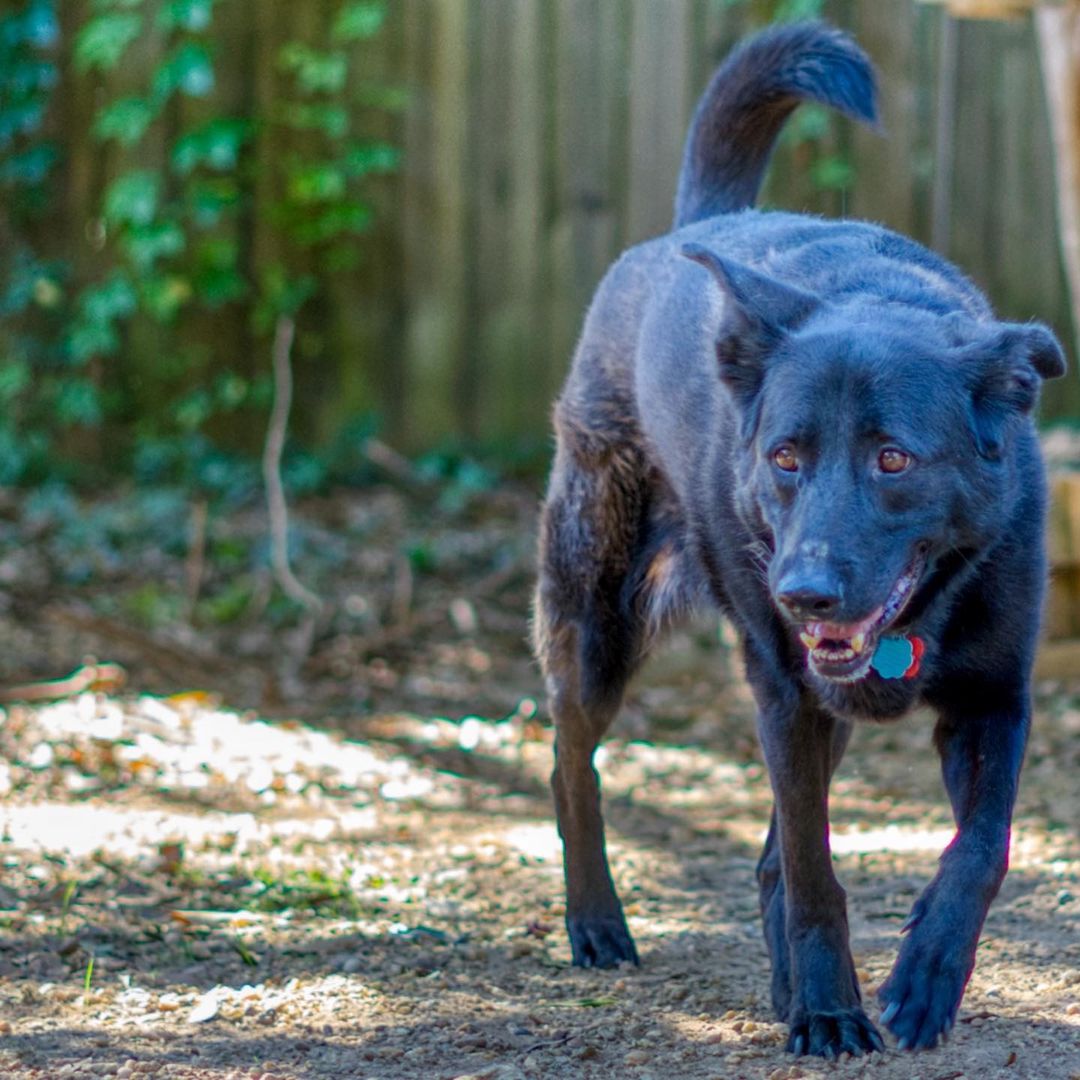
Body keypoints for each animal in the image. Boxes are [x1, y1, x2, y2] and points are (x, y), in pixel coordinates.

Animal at [531, 21, 1062, 1058]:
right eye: (785, 456)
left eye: (894, 459)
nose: (803, 593)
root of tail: (689, 229)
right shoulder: (786, 695)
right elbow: (817, 871)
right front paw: (827, 1009)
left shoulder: (994, 702)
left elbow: (982, 846)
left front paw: (924, 978)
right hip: (598, 621)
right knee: (572, 764)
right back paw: (597, 923)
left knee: (773, 849)